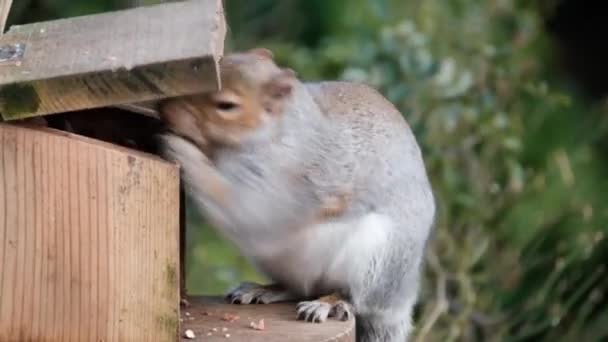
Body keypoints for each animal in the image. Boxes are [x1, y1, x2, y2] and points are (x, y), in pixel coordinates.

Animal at [157, 48, 434, 342]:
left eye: (227, 105)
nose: (165, 109)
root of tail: (400, 299)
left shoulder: (294, 184)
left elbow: (238, 204)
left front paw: (182, 151)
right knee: (299, 287)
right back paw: (265, 289)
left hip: (375, 260)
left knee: (354, 298)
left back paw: (329, 303)